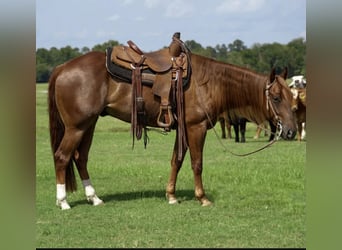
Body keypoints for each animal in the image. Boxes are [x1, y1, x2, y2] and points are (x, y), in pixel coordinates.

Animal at [48, 36, 296, 210]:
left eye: (292, 96)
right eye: (276, 98)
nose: (291, 132)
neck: (208, 82)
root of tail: (62, 68)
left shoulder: (184, 129)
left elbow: (176, 160)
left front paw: (171, 196)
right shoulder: (196, 128)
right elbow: (197, 163)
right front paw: (202, 198)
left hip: (88, 125)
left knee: (80, 158)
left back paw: (94, 198)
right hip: (76, 127)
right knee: (62, 157)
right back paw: (63, 201)